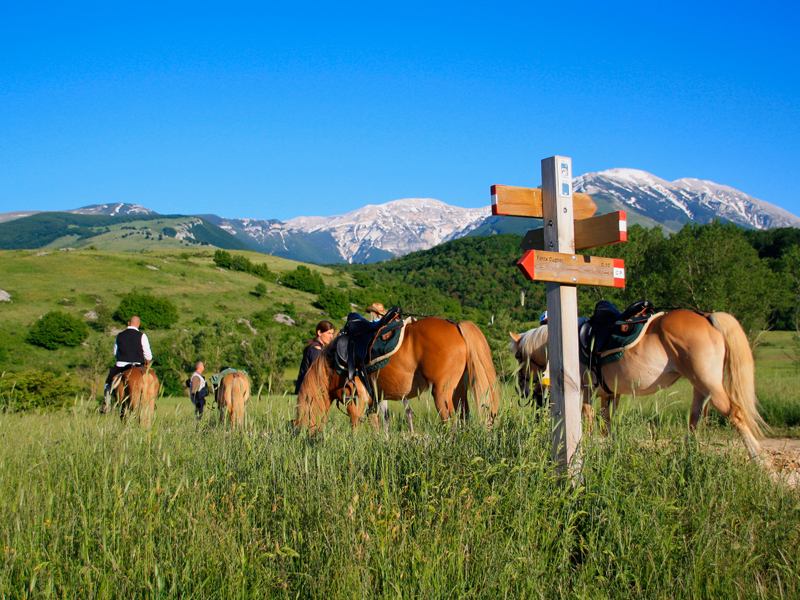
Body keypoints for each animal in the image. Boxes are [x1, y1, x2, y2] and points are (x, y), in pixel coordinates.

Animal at [294, 316, 500, 434]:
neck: (331, 368)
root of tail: (456, 325)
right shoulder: (373, 401)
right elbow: (376, 427)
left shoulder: (355, 402)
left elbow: (355, 429)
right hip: (459, 392)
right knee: (464, 417)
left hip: (442, 394)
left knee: (450, 423)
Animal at [512, 310, 768, 460]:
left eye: (517, 356)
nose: (523, 390)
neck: (567, 341)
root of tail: (707, 317)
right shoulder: (610, 395)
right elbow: (607, 425)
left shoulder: (585, 391)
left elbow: (589, 420)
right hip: (700, 387)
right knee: (695, 421)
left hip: (710, 385)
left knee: (736, 415)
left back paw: (759, 460)